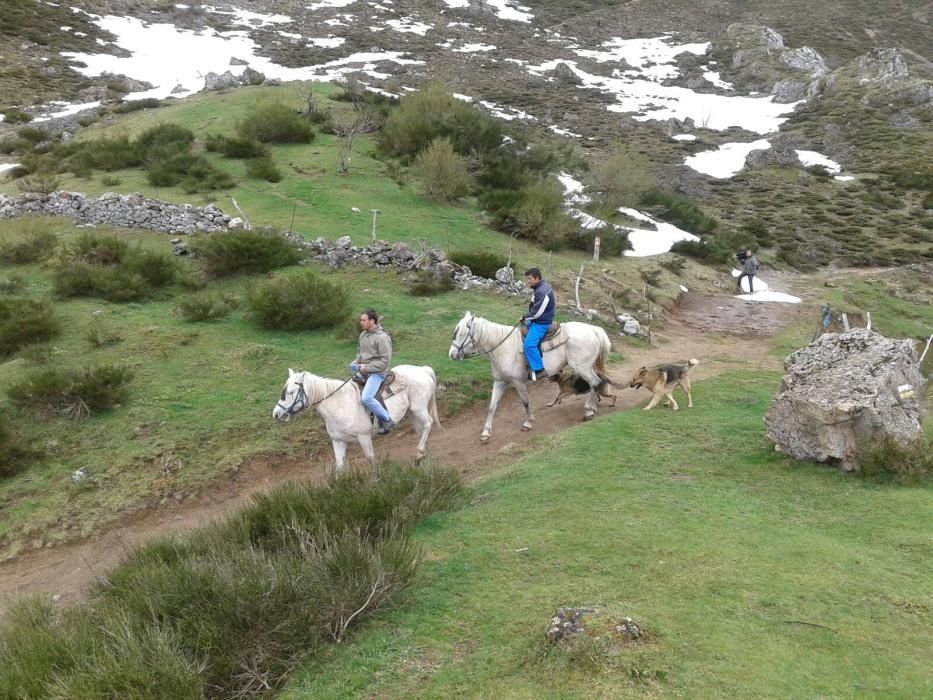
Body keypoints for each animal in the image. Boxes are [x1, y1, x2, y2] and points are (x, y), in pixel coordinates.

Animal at [274, 366, 440, 470]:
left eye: (291, 392)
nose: (276, 414)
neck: (340, 405)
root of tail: (422, 369)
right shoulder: (338, 441)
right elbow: (340, 468)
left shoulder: (364, 438)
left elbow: (371, 460)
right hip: (412, 412)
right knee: (420, 429)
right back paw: (423, 454)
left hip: (418, 408)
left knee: (428, 424)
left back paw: (419, 453)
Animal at [450, 314, 612, 440]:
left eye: (461, 333)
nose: (451, 354)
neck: (503, 348)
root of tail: (594, 330)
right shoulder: (500, 381)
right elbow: (492, 406)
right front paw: (486, 432)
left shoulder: (518, 382)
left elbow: (525, 402)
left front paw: (528, 423)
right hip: (589, 367)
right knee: (597, 382)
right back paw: (594, 408)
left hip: (582, 367)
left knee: (595, 382)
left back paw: (589, 411)